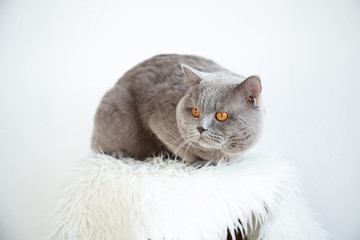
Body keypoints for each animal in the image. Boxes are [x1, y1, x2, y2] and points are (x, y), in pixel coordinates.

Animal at [91, 54, 262, 163]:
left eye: (221, 115)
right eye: (195, 112)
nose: (200, 128)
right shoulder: (158, 123)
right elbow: (185, 150)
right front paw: (200, 162)